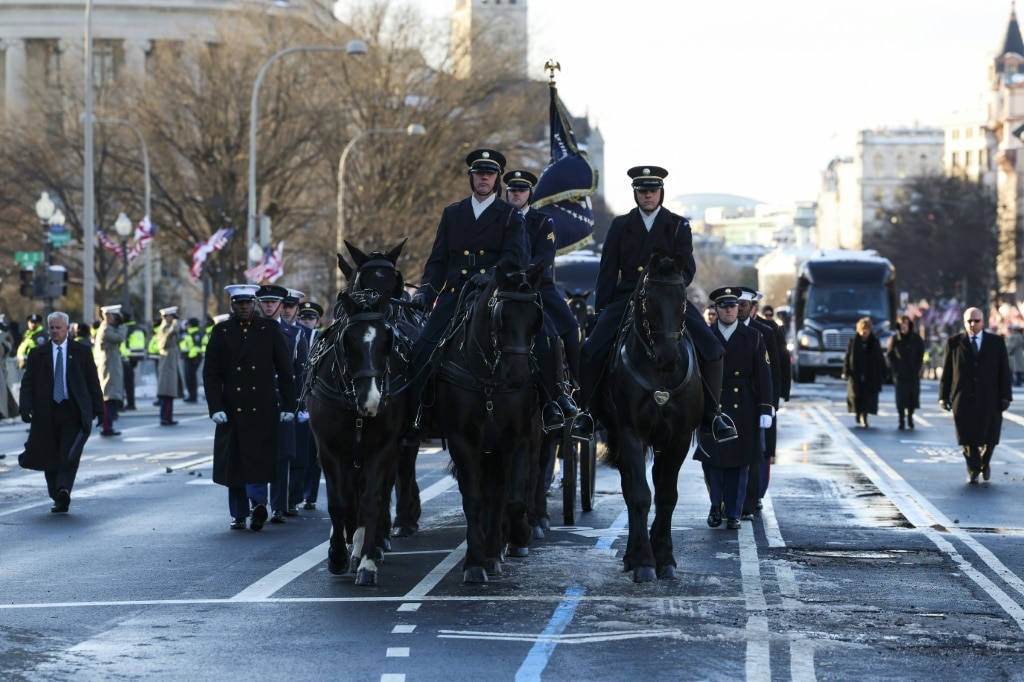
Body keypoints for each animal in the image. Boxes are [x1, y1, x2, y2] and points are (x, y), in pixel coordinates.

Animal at [430, 262, 548, 581]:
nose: (518, 375)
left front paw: (519, 535)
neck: (489, 379)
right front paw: (474, 562)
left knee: (506, 491)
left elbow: (514, 499)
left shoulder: (517, 439)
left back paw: (500, 547)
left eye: (536, 318)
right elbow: (473, 499)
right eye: (502, 317)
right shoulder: (463, 440)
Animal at [593, 248, 704, 577]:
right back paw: (633, 555)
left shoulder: (679, 437)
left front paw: (664, 556)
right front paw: (644, 561)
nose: (669, 357)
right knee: (630, 490)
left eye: (682, 298)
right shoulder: (631, 433)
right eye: (649, 300)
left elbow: (667, 496)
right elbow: (640, 495)